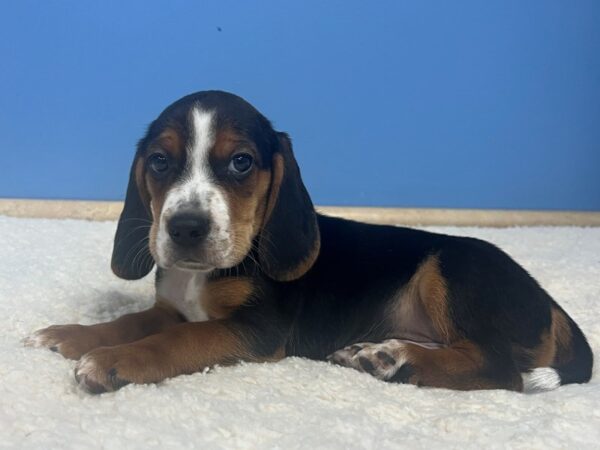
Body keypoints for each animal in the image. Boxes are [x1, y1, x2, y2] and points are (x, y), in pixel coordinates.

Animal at [27, 89, 592, 392]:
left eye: (241, 162)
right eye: (160, 162)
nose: (185, 228)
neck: (201, 276)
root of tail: (548, 301)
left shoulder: (255, 330)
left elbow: (173, 341)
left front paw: (113, 362)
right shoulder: (171, 308)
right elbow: (131, 322)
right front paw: (70, 335)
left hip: (451, 267)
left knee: (503, 370)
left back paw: (397, 360)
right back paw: (378, 354)